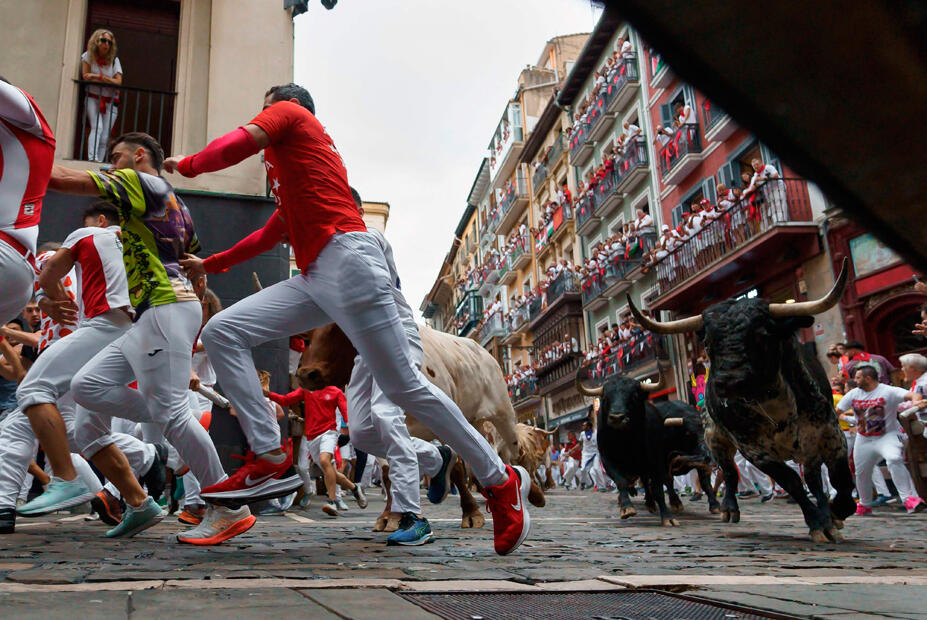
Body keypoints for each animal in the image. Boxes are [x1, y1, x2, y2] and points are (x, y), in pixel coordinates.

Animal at [298, 322, 544, 532]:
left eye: (336, 330)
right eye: (307, 337)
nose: (306, 373)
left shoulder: (441, 416)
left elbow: (456, 467)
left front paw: (471, 513)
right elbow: (388, 473)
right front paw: (389, 516)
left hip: (503, 414)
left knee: (512, 455)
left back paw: (533, 493)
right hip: (473, 421)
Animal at [576, 370, 720, 524]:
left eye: (634, 395)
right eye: (606, 397)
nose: (617, 417)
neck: (624, 439)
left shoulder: (659, 461)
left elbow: (703, 483)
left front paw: (714, 505)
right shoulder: (608, 460)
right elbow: (622, 482)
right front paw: (627, 508)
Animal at [632, 256, 856, 544]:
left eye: (762, 334)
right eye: (708, 341)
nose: (728, 382)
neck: (775, 407)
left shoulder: (830, 434)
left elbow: (841, 481)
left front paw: (835, 513)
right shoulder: (753, 449)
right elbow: (791, 481)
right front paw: (817, 522)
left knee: (814, 477)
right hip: (716, 438)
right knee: (728, 471)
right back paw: (728, 507)